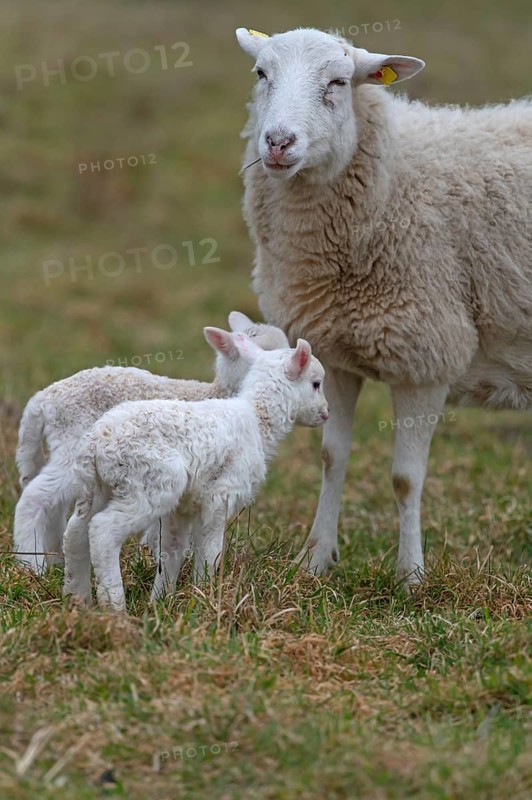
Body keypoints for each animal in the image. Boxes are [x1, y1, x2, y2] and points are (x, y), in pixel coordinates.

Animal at [13, 312, 289, 573]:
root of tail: (44, 398)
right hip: (72, 445)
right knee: (34, 496)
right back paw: (31, 564)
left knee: (54, 505)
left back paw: (55, 560)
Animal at [61, 334, 328, 611]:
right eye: (316, 384)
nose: (325, 413)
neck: (257, 418)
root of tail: (96, 443)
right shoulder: (220, 496)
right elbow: (210, 552)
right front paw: (205, 597)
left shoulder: (182, 508)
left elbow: (172, 550)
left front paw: (162, 602)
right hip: (150, 484)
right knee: (103, 531)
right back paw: (114, 606)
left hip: (96, 487)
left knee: (75, 532)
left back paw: (77, 599)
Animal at [236, 26, 532, 584]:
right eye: (261, 73)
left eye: (337, 82)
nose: (279, 142)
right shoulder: (333, 351)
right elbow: (332, 457)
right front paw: (315, 561)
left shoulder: (427, 356)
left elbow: (404, 479)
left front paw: (411, 576)